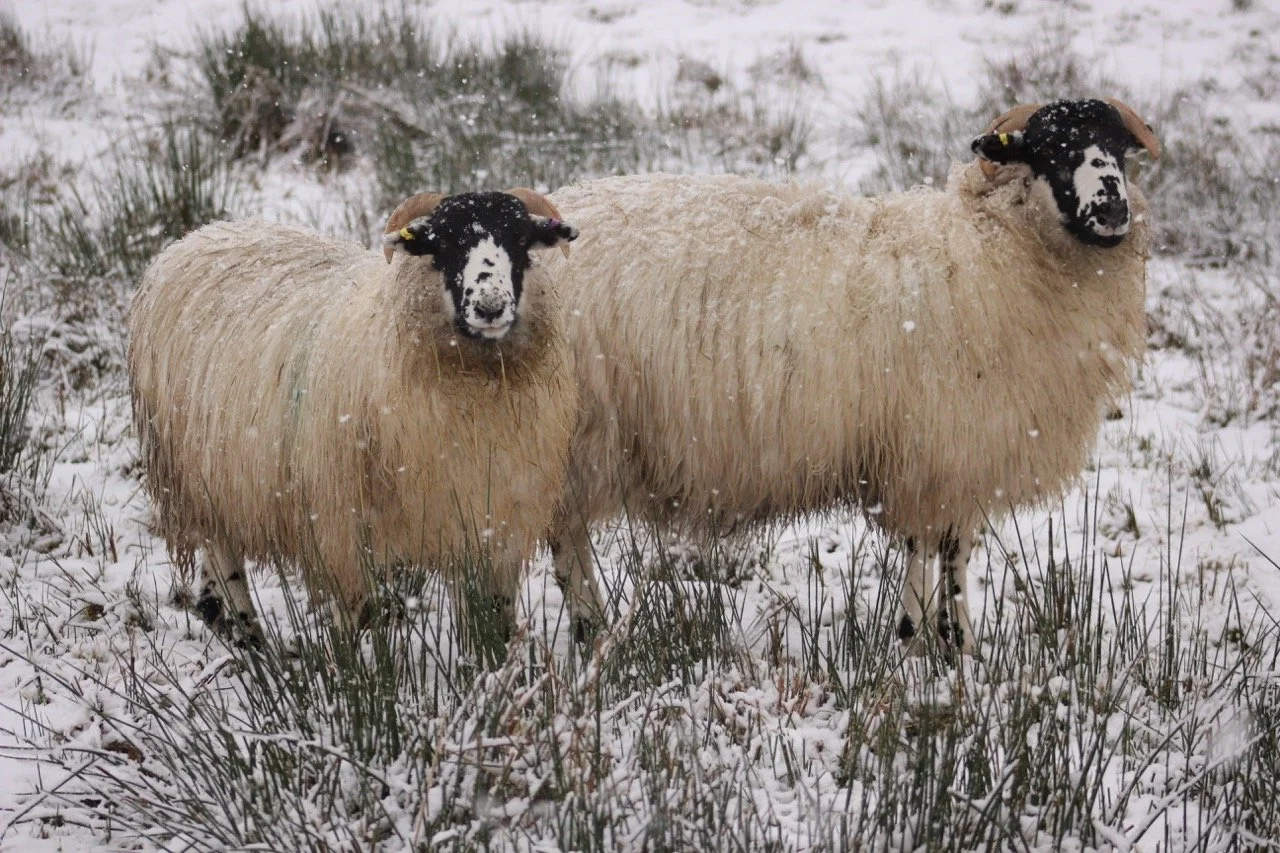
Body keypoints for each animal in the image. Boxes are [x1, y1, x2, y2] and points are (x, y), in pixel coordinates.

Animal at [128, 188, 580, 653]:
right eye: (444, 243)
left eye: (520, 239)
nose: (490, 307)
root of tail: (194, 237)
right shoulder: (340, 523)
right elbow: (351, 613)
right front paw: (348, 667)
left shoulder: (495, 515)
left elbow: (493, 612)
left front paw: (494, 660)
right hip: (193, 471)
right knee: (223, 553)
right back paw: (251, 638)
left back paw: (222, 620)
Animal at [543, 98, 1160, 654]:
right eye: (1051, 149)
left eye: (1117, 149)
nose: (1112, 208)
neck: (992, 248)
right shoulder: (931, 452)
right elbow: (927, 551)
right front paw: (920, 644)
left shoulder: (964, 455)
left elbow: (955, 551)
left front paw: (957, 645)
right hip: (576, 437)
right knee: (567, 543)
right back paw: (591, 630)